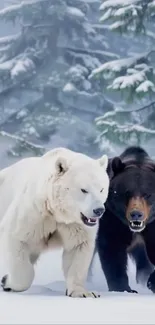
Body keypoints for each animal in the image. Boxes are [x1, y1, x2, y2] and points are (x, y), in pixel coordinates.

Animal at [0, 147, 109, 296]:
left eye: (102, 189)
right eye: (84, 190)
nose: (99, 210)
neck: (56, 212)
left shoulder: (74, 225)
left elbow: (78, 248)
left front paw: (83, 292)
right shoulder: (34, 213)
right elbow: (15, 237)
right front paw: (8, 282)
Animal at [97, 146, 155, 292]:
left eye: (147, 194)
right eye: (127, 192)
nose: (136, 214)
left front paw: (152, 282)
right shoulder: (112, 218)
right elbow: (112, 249)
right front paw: (122, 288)